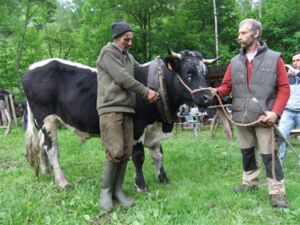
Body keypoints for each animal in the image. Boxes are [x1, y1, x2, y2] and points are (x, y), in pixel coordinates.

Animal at [22, 48, 216, 191]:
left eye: (205, 73)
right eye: (188, 72)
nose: (208, 97)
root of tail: (31, 68)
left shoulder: (154, 129)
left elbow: (158, 155)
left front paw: (163, 179)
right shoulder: (137, 128)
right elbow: (139, 157)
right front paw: (141, 186)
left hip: (46, 123)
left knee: (42, 146)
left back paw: (47, 172)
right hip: (47, 119)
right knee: (52, 149)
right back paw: (63, 182)